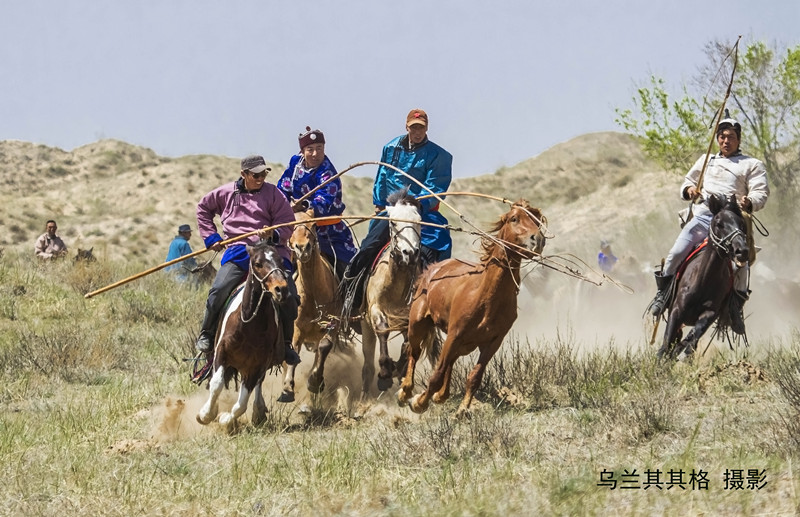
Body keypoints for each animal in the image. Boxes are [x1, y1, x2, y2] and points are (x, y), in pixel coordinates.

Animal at [196, 240, 290, 430]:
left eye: (281, 261)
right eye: (258, 263)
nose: (281, 290)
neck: (249, 325)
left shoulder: (255, 366)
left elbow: (241, 404)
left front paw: (225, 419)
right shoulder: (221, 353)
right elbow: (216, 384)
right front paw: (206, 414)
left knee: (258, 385)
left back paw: (258, 410)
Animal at [280, 208, 342, 402]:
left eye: (314, 224)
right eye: (289, 226)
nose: (302, 247)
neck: (314, 296)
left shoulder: (333, 324)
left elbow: (324, 346)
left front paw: (315, 381)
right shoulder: (296, 328)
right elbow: (293, 350)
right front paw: (287, 388)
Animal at [360, 189, 424, 396]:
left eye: (419, 221)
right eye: (393, 222)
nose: (409, 253)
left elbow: (409, 343)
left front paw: (399, 368)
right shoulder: (375, 309)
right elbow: (382, 328)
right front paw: (386, 371)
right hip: (365, 327)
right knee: (367, 367)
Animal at [396, 200, 548, 418]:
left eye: (537, 221)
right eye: (514, 218)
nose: (538, 240)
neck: (485, 297)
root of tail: (433, 268)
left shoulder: (492, 343)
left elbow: (474, 376)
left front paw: (462, 410)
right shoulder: (454, 335)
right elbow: (436, 375)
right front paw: (419, 403)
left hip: (464, 344)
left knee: (448, 361)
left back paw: (440, 396)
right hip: (418, 324)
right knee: (413, 352)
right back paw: (405, 392)